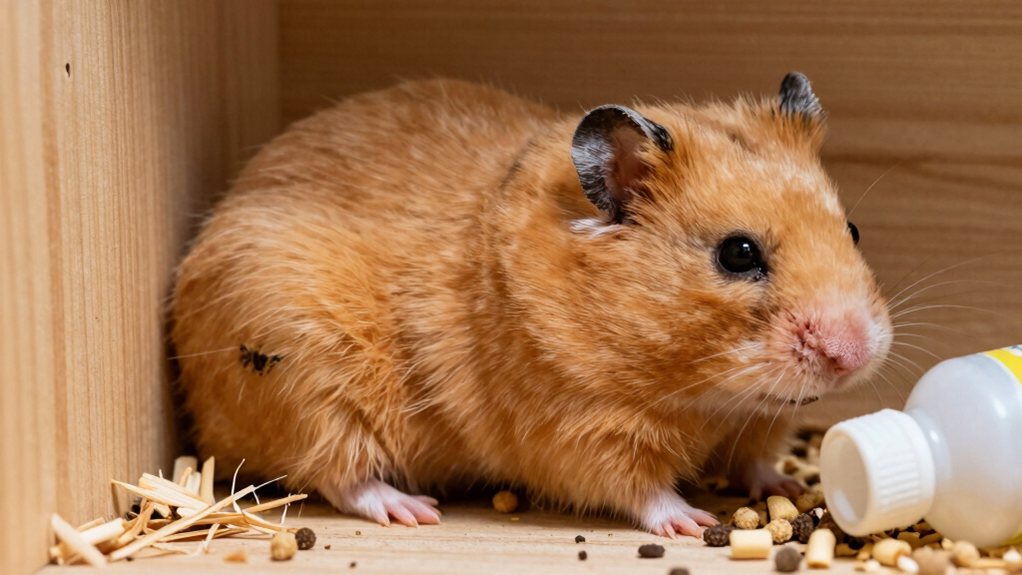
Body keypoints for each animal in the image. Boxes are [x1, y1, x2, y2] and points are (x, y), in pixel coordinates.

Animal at [171, 73, 892, 537]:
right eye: (738, 254)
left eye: (854, 231)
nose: (853, 354)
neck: (702, 392)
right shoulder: (579, 429)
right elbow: (641, 491)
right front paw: (695, 520)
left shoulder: (754, 422)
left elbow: (755, 457)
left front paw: (788, 485)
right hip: (308, 377)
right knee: (338, 473)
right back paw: (414, 509)